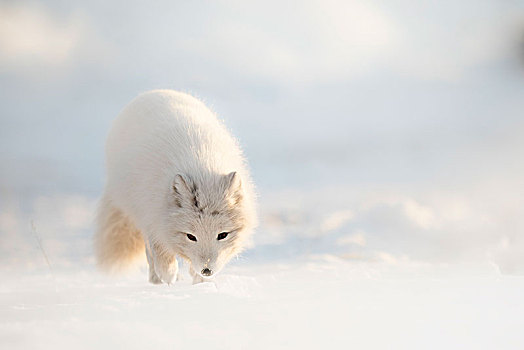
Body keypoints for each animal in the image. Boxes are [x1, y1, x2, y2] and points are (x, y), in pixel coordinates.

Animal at [95, 90, 258, 284]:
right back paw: (156, 279)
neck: (200, 169)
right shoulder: (153, 215)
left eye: (222, 235)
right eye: (191, 236)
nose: (207, 271)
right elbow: (159, 250)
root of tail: (154, 92)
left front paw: (200, 283)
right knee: (149, 252)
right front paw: (168, 275)